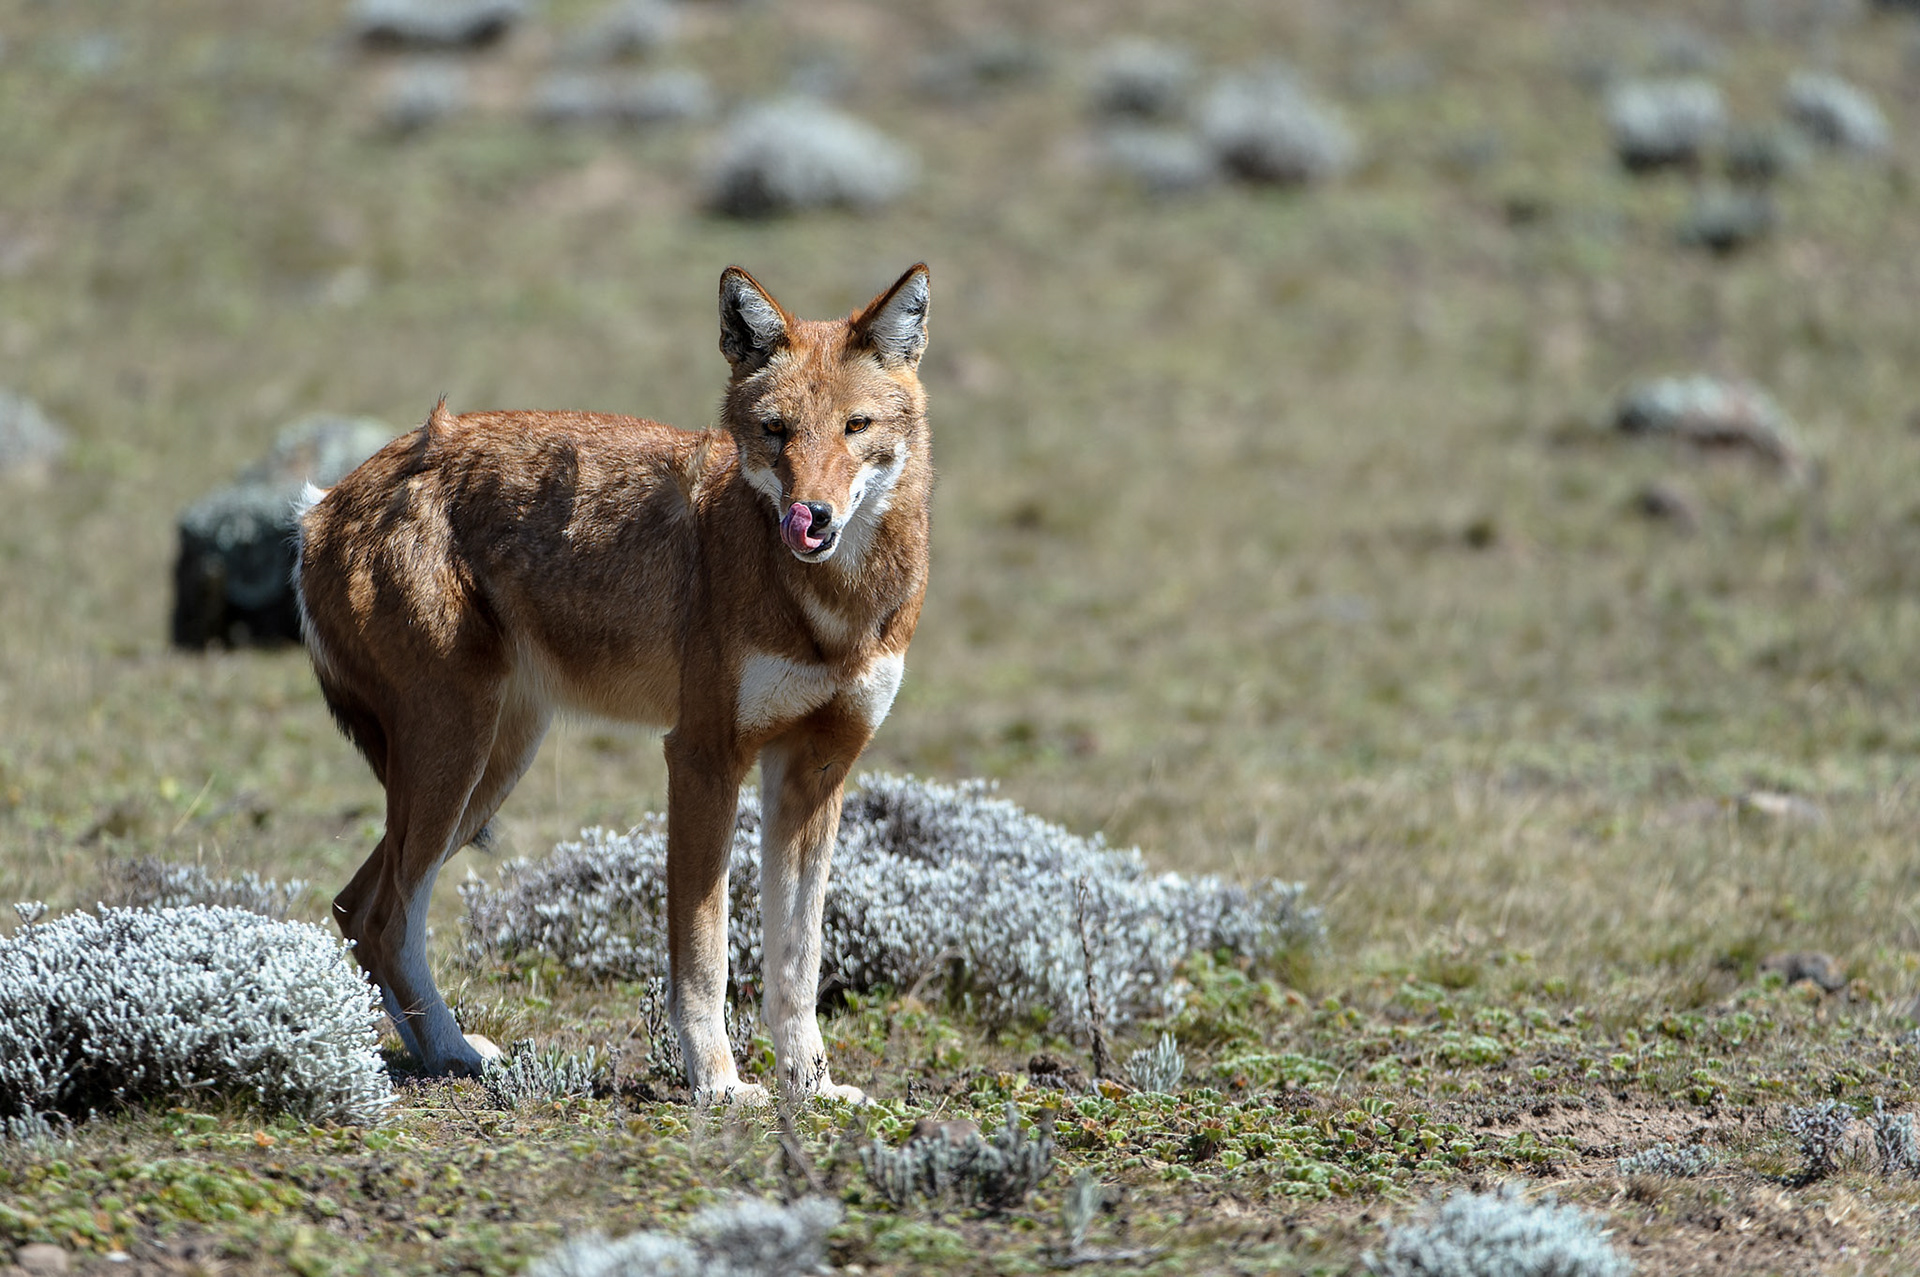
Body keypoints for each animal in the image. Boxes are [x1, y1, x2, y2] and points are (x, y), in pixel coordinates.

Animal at [294, 264, 932, 1101]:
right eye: (775, 430)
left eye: (856, 427)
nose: (810, 516)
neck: (832, 605)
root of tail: (319, 508)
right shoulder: (700, 757)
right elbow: (704, 956)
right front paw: (719, 1084)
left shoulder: (817, 769)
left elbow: (798, 963)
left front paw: (812, 1087)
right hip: (455, 766)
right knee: (383, 916)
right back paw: (456, 1057)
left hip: (488, 773)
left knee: (354, 906)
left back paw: (441, 1055)